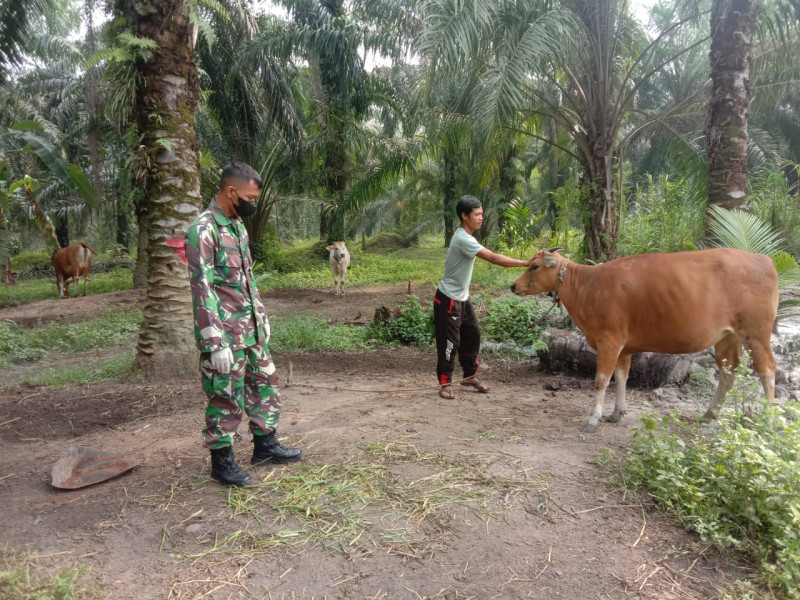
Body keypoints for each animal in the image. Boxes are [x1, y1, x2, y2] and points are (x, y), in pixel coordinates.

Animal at [510, 246, 780, 434]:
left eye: (534, 266)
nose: (513, 286)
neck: (587, 285)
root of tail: (764, 260)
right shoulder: (624, 347)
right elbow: (621, 377)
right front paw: (616, 413)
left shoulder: (609, 341)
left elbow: (600, 381)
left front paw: (593, 419)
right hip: (727, 337)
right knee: (728, 373)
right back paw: (709, 415)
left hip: (756, 333)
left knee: (767, 369)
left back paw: (769, 420)